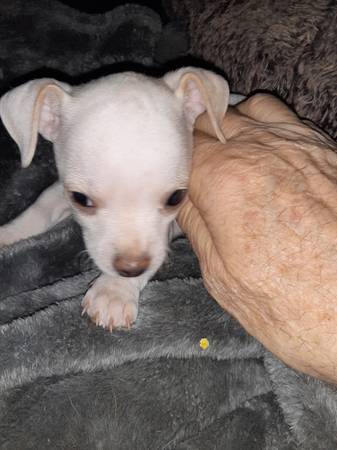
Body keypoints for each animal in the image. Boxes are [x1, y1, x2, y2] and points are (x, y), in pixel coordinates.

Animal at [0, 68, 238, 332]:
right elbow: (39, 210)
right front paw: (7, 236)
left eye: (176, 198)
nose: (131, 268)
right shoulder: (60, 190)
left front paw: (113, 291)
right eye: (80, 199)